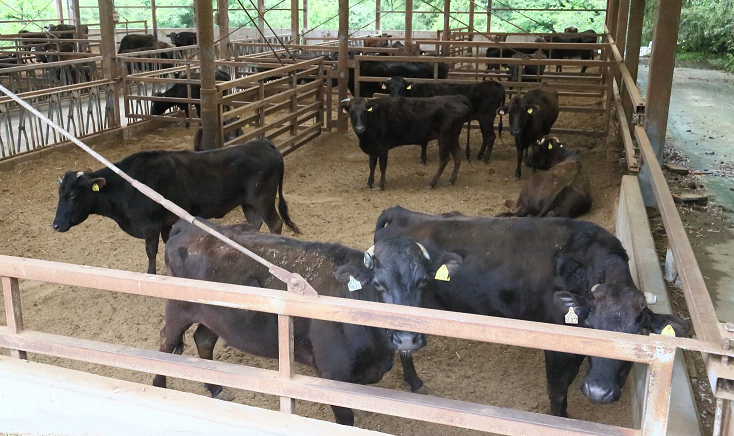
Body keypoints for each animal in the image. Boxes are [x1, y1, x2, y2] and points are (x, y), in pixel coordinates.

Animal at [51, 138, 300, 274]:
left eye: (72, 195)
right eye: (60, 194)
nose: (55, 225)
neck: (126, 185)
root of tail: (262, 143)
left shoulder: (150, 226)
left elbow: (151, 251)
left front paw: (151, 274)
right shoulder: (165, 223)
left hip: (263, 200)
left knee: (275, 223)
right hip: (248, 203)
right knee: (255, 224)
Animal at [156, 220, 462, 424]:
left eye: (424, 281)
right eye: (378, 284)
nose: (407, 338)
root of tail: (188, 227)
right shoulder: (333, 374)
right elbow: (346, 421)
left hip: (214, 315)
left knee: (203, 340)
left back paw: (217, 389)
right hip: (178, 309)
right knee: (165, 344)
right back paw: (157, 387)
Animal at [340, 97, 472, 189]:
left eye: (365, 112)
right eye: (351, 112)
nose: (360, 128)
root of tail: (456, 99)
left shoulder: (383, 147)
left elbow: (382, 166)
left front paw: (381, 185)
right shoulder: (373, 147)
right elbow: (372, 165)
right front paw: (369, 183)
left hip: (444, 138)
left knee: (444, 160)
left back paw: (432, 183)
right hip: (453, 137)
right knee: (458, 155)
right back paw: (451, 180)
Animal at [376, 206, 692, 418]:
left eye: (638, 331)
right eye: (591, 325)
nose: (598, 392)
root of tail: (401, 212)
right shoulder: (556, 344)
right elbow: (558, 390)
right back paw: (415, 382)